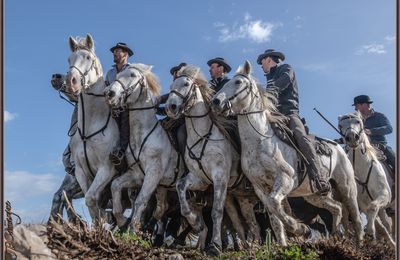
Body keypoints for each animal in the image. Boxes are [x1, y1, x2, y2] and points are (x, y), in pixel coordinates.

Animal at [65, 34, 119, 219]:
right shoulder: (81, 173)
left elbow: (91, 199)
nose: (71, 81)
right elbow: (93, 206)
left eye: (88, 58)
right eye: (69, 59)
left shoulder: (106, 169)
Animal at [165, 64, 260, 254]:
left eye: (186, 84)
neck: (202, 136)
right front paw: (197, 223)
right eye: (172, 85)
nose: (170, 107)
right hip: (241, 198)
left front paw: (215, 245)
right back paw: (247, 245)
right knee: (245, 223)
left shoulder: (220, 178)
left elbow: (216, 212)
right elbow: (181, 193)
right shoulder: (199, 179)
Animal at [212, 61, 366, 246]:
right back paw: (337, 234)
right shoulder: (260, 187)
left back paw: (358, 244)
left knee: (356, 219)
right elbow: (274, 217)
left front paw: (300, 229)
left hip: (347, 188)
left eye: (237, 82)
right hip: (314, 195)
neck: (260, 140)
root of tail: (338, 146)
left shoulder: (286, 178)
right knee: (337, 208)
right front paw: (286, 243)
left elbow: (275, 205)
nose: (216, 101)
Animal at [338, 112, 394, 245]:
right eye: (340, 125)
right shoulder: (362, 203)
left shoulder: (385, 194)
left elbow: (373, 208)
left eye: (358, 121)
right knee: (385, 224)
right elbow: (377, 223)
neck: (362, 168)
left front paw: (369, 232)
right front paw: (371, 234)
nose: (352, 137)